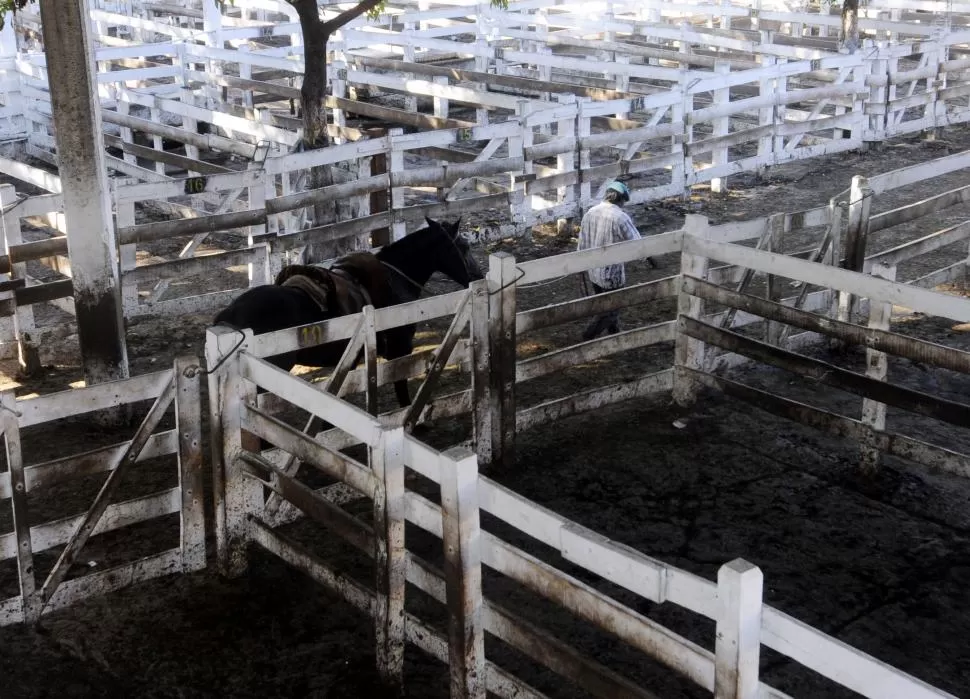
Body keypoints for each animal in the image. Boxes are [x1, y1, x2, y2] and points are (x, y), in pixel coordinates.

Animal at [214, 216, 482, 408]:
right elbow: (400, 385)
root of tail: (231, 315)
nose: (478, 275)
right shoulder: (401, 348)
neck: (395, 278)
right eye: (464, 246)